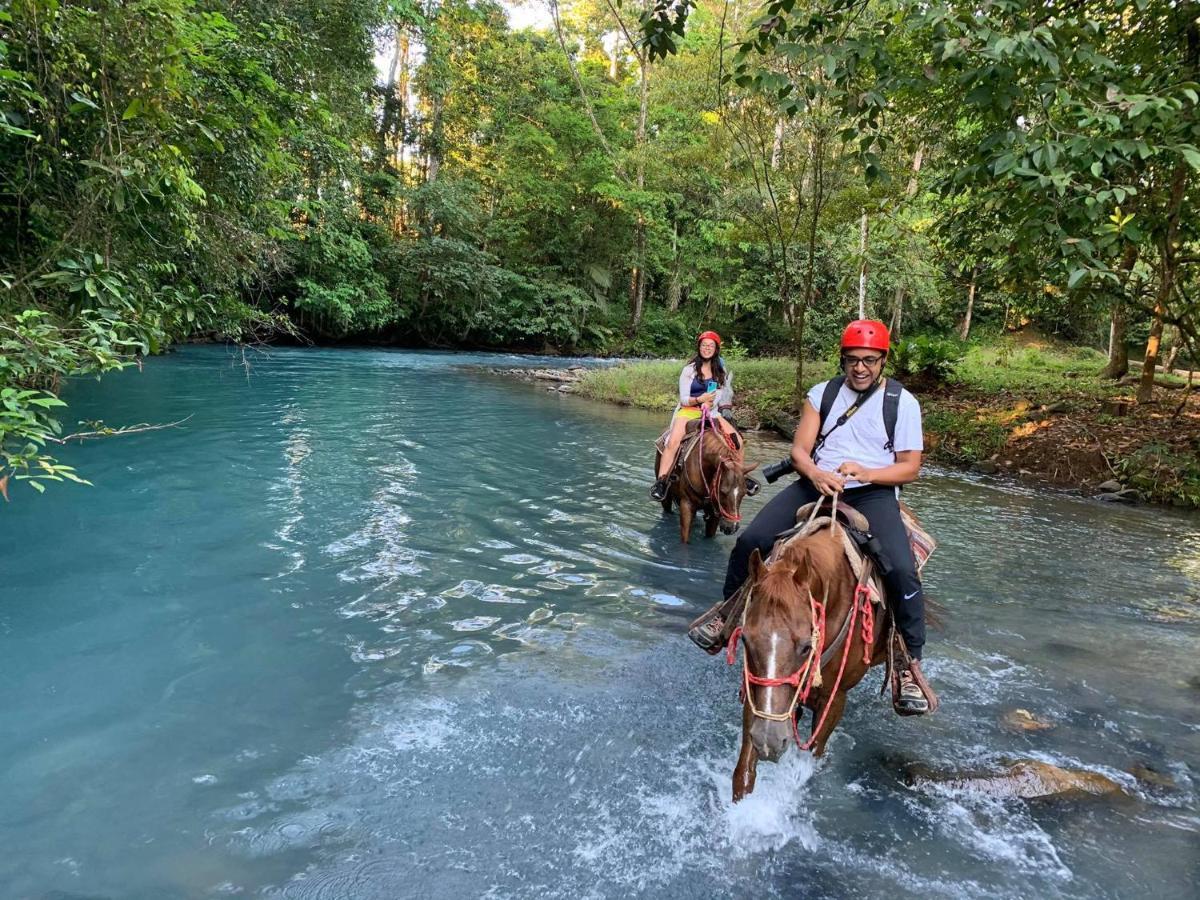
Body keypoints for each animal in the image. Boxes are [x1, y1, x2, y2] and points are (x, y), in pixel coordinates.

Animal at [724, 528, 888, 801]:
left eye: (805, 646)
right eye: (745, 639)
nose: (769, 740)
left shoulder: (835, 699)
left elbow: (810, 758)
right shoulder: (756, 690)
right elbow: (743, 774)